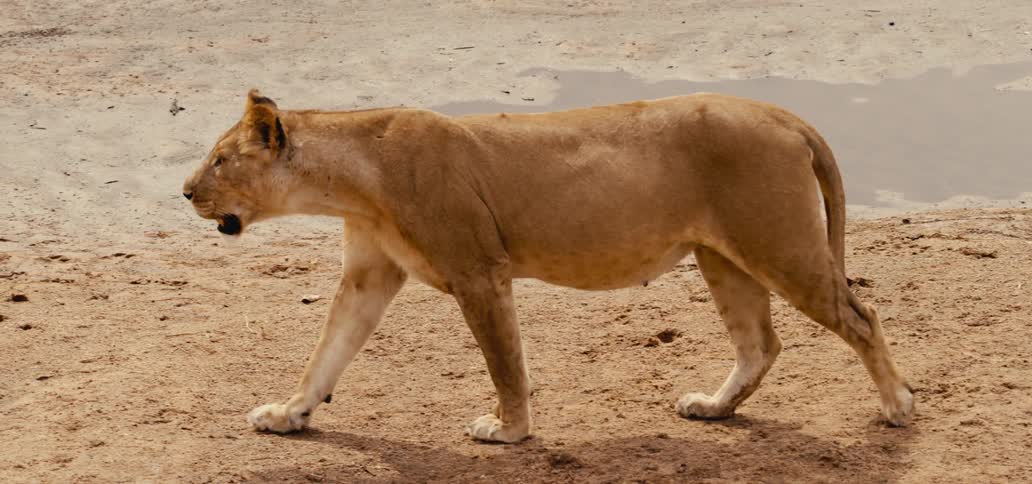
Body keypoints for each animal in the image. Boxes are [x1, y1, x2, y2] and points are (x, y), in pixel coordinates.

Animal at [182, 90, 913, 443]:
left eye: (220, 160)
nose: (186, 192)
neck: (353, 180)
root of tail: (785, 115)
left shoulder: (479, 270)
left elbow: (505, 363)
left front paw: (508, 431)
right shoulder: (369, 275)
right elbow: (326, 353)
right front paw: (290, 414)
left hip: (779, 244)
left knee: (863, 316)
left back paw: (899, 406)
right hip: (723, 257)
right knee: (760, 343)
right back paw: (712, 407)